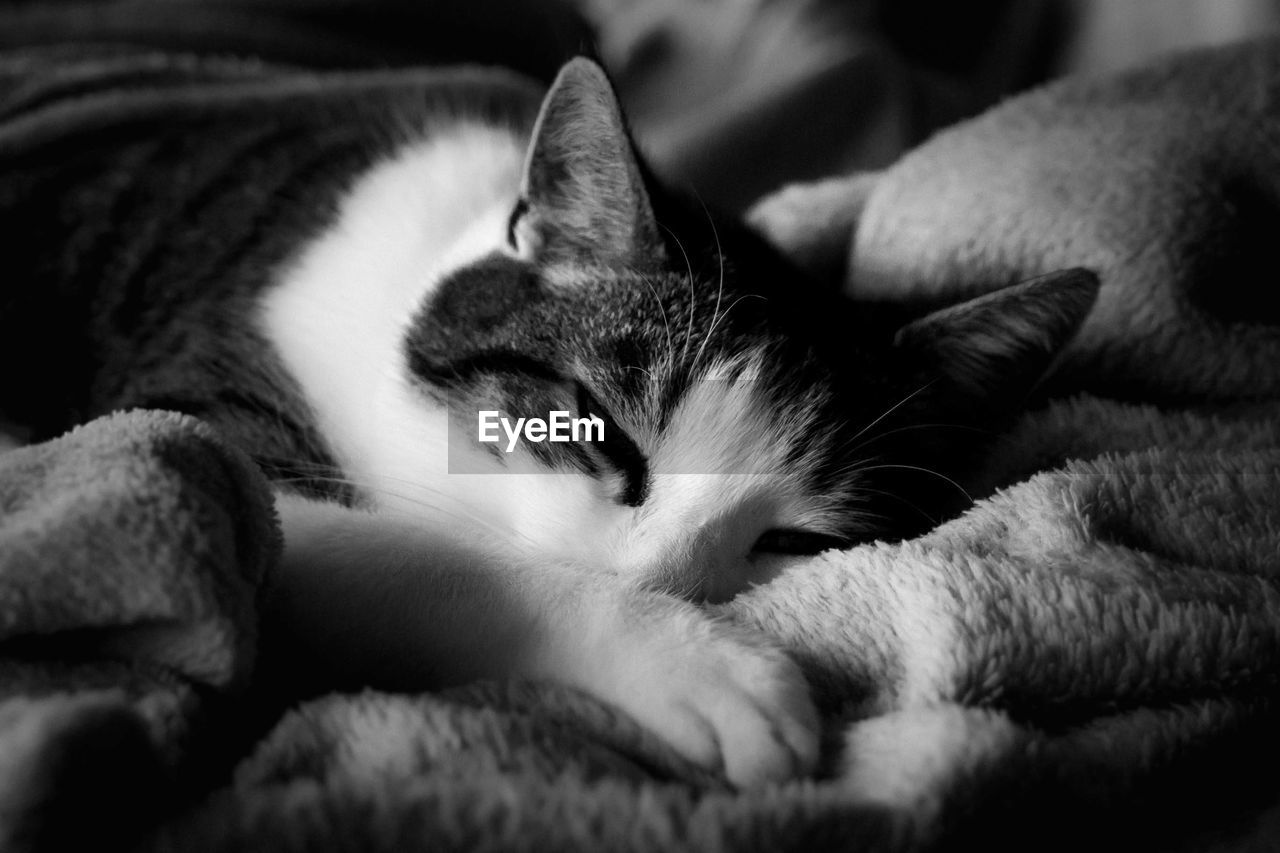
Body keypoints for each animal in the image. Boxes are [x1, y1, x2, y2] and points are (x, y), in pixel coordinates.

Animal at [0, 56, 1095, 778]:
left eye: (795, 541)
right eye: (600, 433)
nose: (654, 587)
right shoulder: (198, 445)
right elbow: (406, 557)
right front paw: (696, 662)